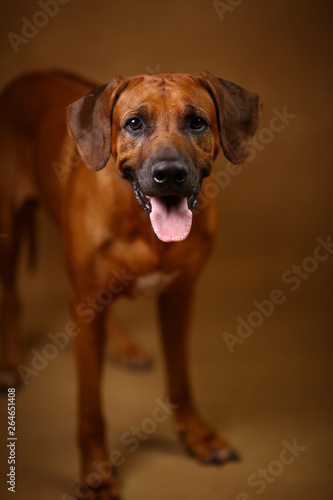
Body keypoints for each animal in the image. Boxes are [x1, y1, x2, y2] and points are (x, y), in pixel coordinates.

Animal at [0, 71, 260, 500]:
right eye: (135, 123)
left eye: (197, 122)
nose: (169, 174)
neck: (141, 224)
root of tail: (24, 79)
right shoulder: (87, 305)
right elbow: (90, 409)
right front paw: (95, 475)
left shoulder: (179, 295)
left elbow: (181, 378)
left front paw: (198, 436)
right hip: (8, 230)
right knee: (12, 298)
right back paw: (8, 364)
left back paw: (122, 345)